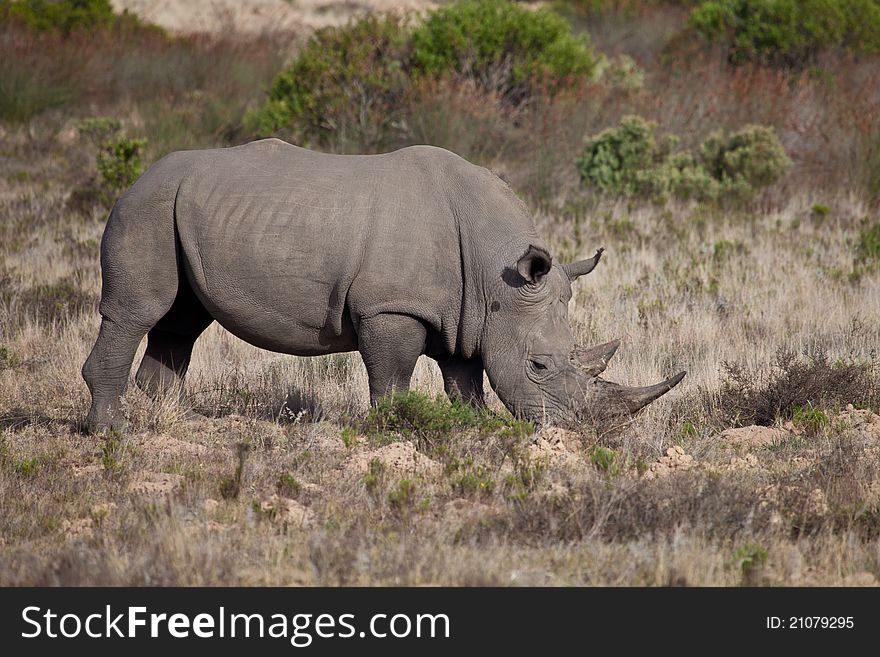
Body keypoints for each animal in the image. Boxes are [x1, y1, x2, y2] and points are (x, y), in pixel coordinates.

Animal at [82, 138, 684, 434]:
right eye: (538, 365)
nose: (580, 433)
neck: (495, 272)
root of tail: (136, 177)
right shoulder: (393, 307)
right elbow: (393, 377)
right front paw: (393, 430)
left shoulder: (468, 315)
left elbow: (464, 379)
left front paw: (476, 427)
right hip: (146, 206)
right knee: (139, 312)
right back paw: (113, 435)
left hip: (181, 210)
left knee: (182, 321)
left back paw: (171, 425)